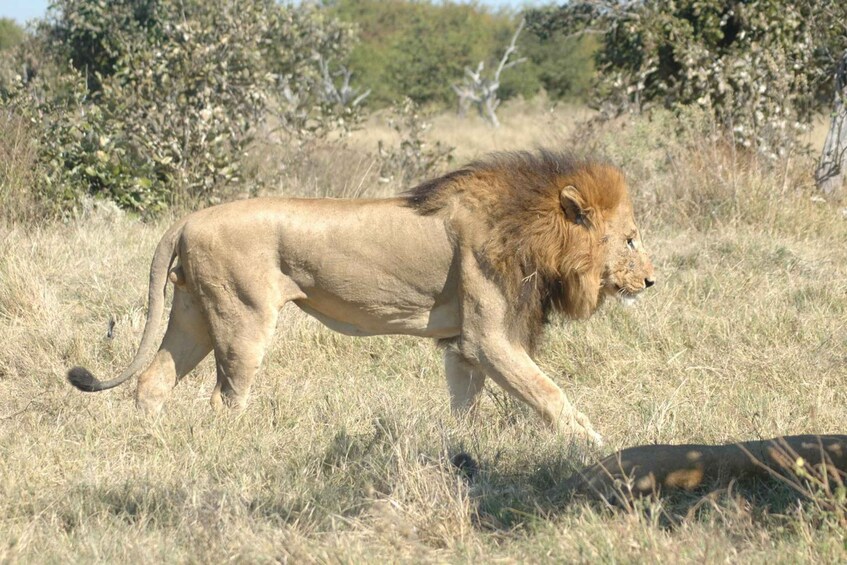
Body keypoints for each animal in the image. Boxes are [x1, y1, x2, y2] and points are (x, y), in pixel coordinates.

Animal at [68, 150, 654, 444]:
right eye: (630, 239)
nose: (651, 281)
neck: (532, 231)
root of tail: (188, 218)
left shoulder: (463, 344)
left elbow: (466, 404)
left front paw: (463, 452)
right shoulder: (489, 336)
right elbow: (549, 393)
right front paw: (592, 446)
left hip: (193, 314)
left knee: (153, 379)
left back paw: (150, 443)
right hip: (241, 319)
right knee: (225, 398)